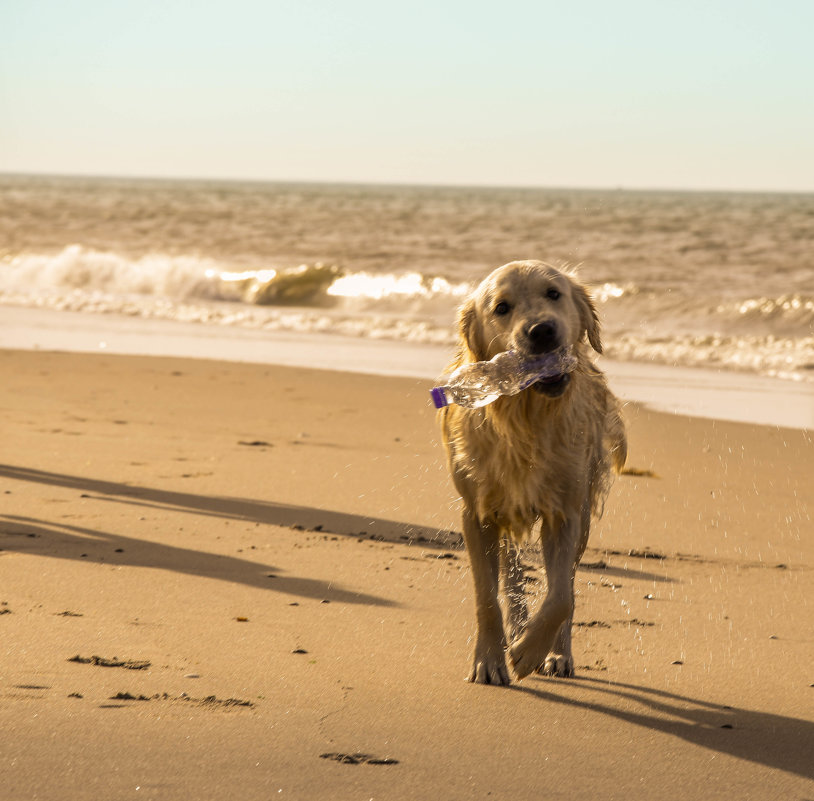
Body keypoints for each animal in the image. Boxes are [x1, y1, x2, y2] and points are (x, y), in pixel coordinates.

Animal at [444, 260, 628, 684]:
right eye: (501, 307)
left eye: (553, 294)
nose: (541, 330)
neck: (525, 419)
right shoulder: (477, 514)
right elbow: (486, 595)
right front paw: (490, 659)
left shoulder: (565, 513)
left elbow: (561, 596)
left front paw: (529, 652)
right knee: (510, 574)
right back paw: (516, 627)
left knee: (565, 584)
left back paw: (556, 653)